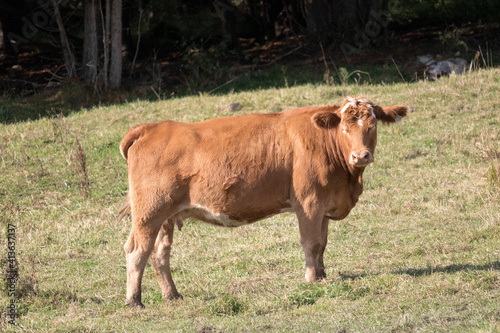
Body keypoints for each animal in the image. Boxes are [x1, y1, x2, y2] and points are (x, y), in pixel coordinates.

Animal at [118, 95, 410, 306]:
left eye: (372, 126)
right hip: (149, 212)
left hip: (166, 216)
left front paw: (323, 275)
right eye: (346, 128)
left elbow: (323, 245)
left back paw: (172, 296)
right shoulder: (309, 202)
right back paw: (134, 301)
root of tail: (151, 128)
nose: (360, 156)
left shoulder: (324, 205)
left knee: (159, 253)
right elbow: (312, 243)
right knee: (137, 251)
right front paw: (312, 279)